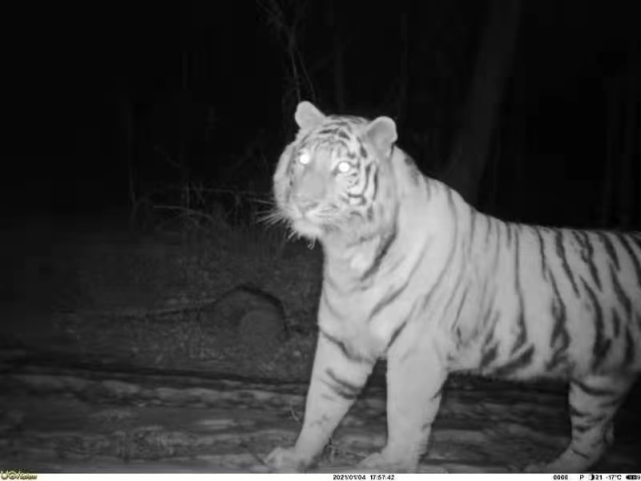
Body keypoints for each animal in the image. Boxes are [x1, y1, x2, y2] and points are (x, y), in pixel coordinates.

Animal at [265, 100, 641, 473]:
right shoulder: (342, 340)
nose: (303, 203)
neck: (350, 252)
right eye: (303, 159)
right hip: (599, 381)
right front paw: (296, 457)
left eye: (343, 167)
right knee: (595, 438)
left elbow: (403, 414)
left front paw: (391, 464)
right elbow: (321, 404)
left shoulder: (416, 349)